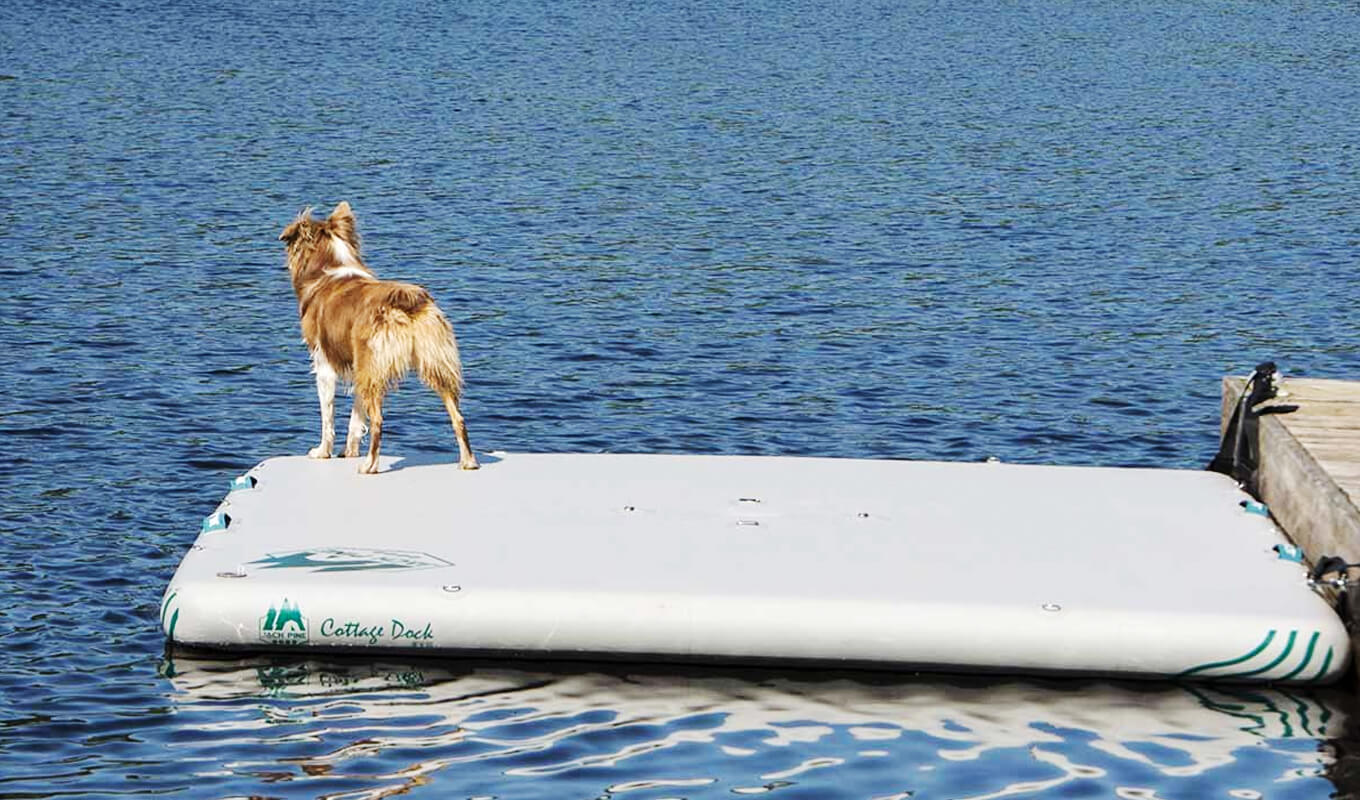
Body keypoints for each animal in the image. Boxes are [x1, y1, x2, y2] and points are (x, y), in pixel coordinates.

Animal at [276, 202, 478, 470]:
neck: (329, 268)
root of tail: (405, 300)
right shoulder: (360, 368)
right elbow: (356, 417)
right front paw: (349, 452)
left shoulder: (324, 362)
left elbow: (328, 416)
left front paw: (322, 452)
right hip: (434, 363)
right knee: (459, 417)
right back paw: (469, 462)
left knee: (379, 421)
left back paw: (369, 466)